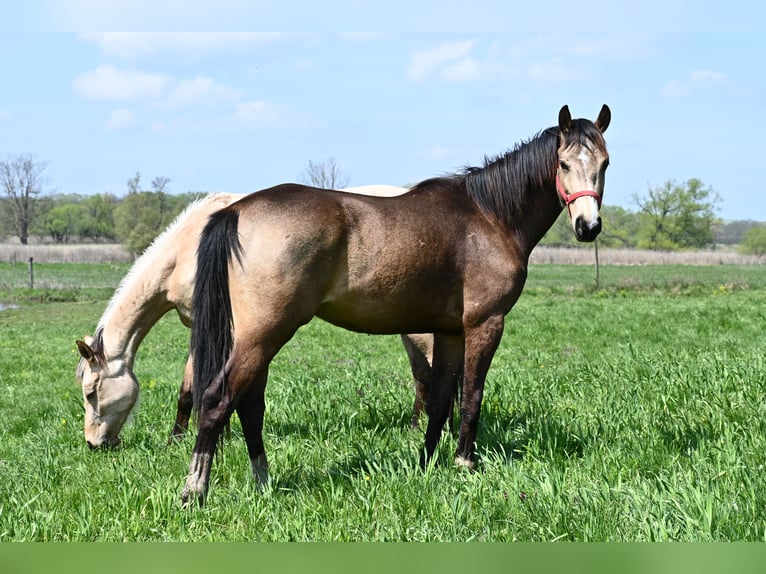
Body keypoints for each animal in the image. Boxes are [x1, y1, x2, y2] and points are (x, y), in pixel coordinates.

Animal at [74, 185, 438, 449]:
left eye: (91, 392)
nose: (93, 443)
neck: (186, 251)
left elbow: (191, 389)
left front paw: (183, 441)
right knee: (421, 375)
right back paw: (415, 428)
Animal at [182, 104, 611, 505]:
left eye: (605, 163)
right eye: (563, 163)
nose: (588, 227)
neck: (490, 216)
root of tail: (236, 209)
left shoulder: (449, 331)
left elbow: (439, 401)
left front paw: (426, 463)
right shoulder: (485, 323)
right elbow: (471, 396)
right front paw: (464, 463)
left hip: (258, 336)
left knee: (250, 407)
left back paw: (264, 482)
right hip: (265, 333)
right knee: (218, 400)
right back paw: (194, 491)